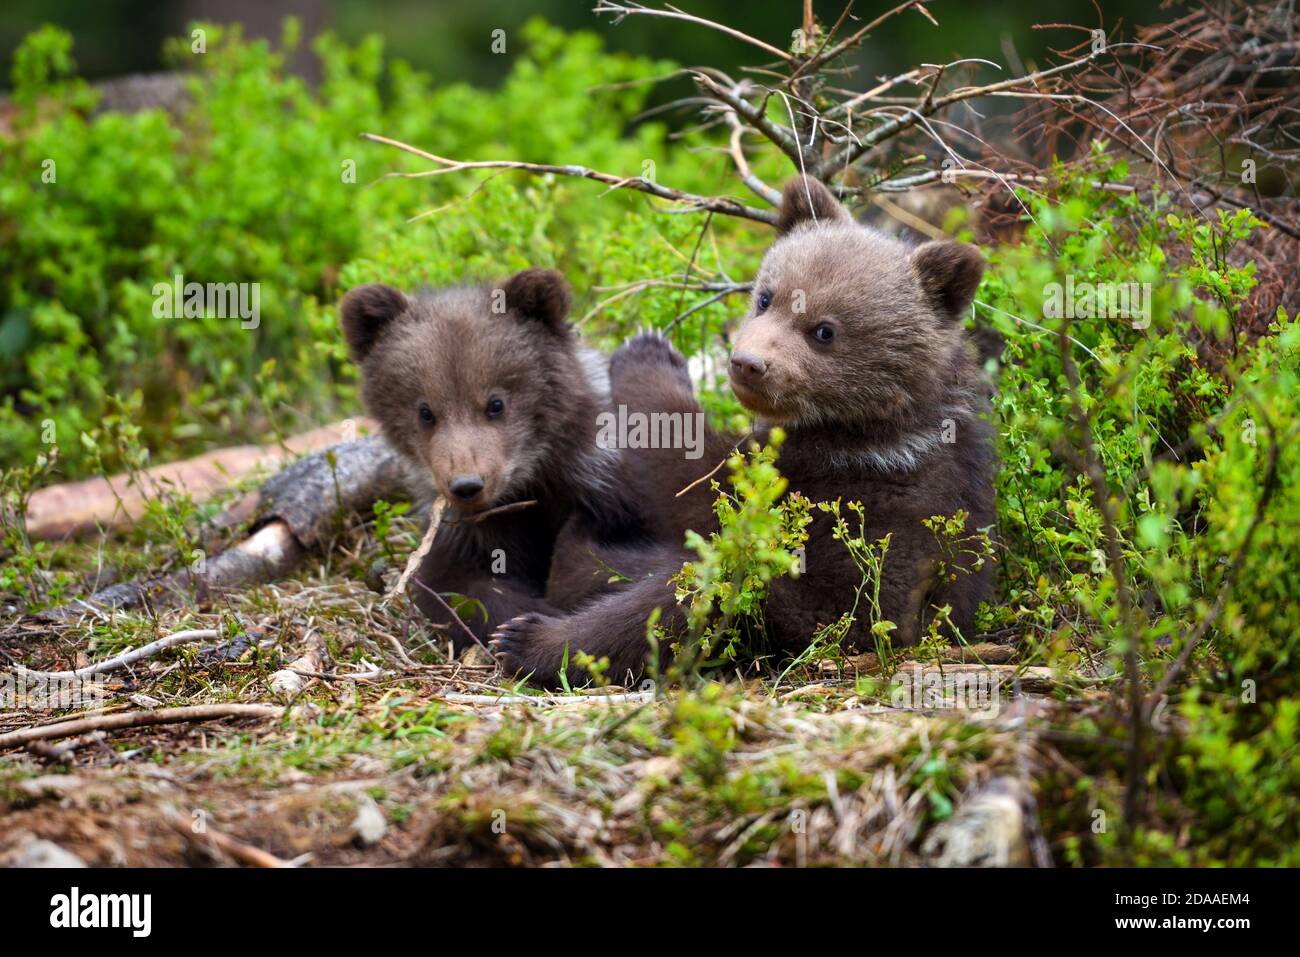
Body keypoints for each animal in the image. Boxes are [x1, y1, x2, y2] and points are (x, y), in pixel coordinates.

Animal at [339, 268, 643, 647]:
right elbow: (456, 587)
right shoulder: (462, 534)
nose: (467, 485)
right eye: (425, 411)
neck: (529, 484)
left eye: (496, 403)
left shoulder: (603, 490)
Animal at [490, 176, 996, 687]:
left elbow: (685, 477)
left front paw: (647, 350)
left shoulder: (816, 474)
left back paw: (530, 636)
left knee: (671, 605)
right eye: (766, 296)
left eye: (824, 330)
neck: (877, 418)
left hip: (796, 603)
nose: (748, 364)